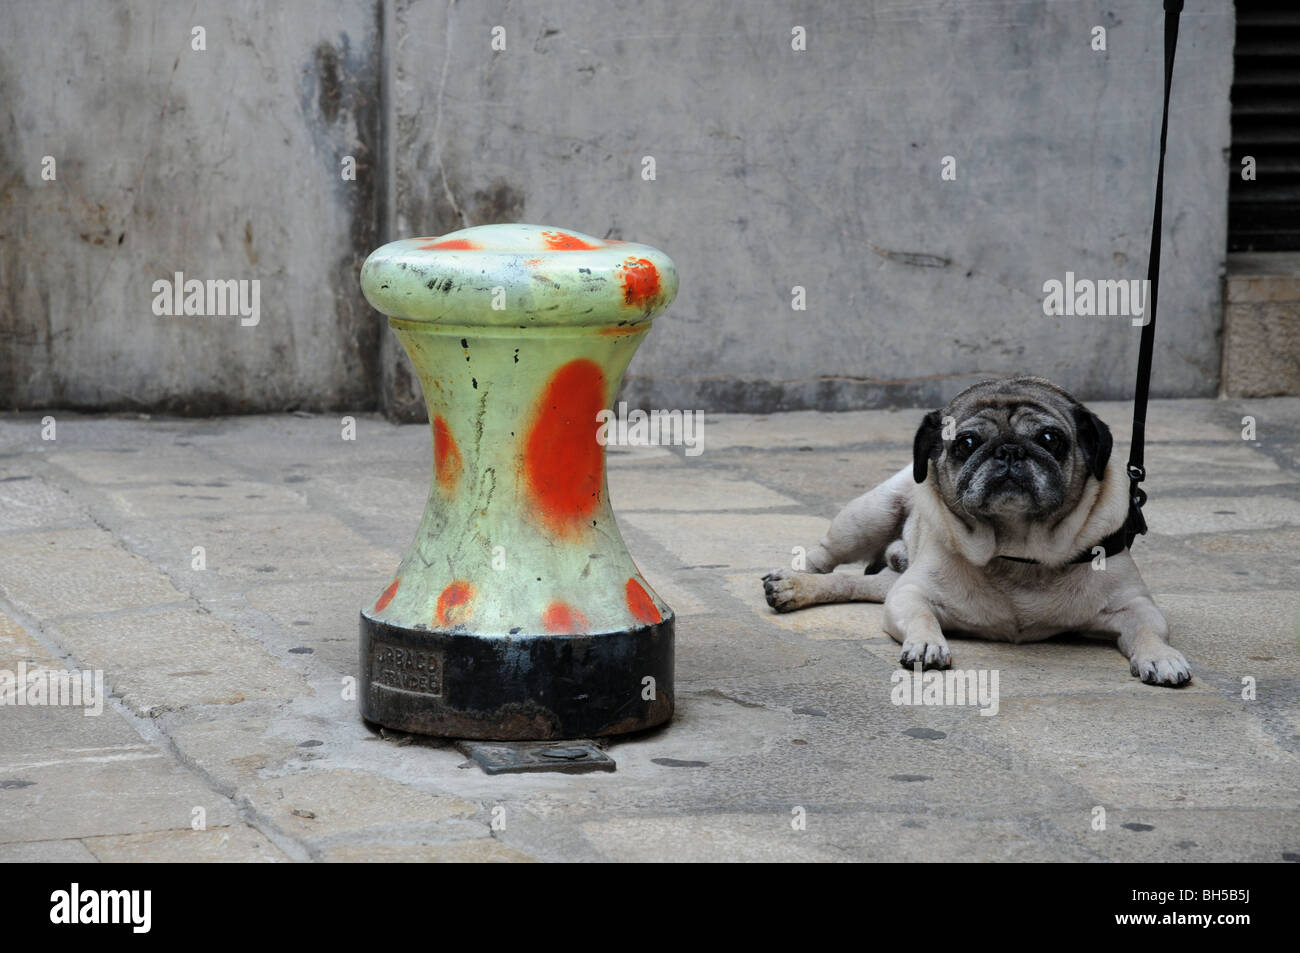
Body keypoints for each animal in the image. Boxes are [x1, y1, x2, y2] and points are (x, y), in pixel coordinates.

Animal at [759, 377, 1190, 686]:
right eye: (966, 443)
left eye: (1050, 439)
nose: (1009, 450)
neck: (1019, 551)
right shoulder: (911, 595)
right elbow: (922, 617)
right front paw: (927, 644)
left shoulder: (1134, 605)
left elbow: (1149, 630)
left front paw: (1160, 657)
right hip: (869, 514)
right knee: (827, 557)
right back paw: (794, 581)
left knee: (857, 584)